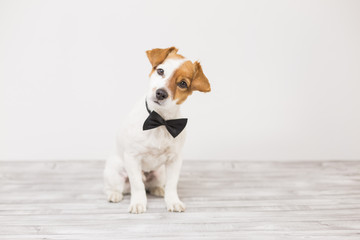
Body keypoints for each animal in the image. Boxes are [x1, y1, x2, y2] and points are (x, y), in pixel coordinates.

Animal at [103, 47, 211, 214]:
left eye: (182, 83)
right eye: (160, 71)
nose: (161, 93)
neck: (160, 121)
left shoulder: (175, 160)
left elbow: (172, 185)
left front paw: (173, 201)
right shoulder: (132, 158)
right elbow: (137, 185)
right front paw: (138, 203)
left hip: (160, 173)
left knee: (153, 185)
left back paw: (158, 189)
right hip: (115, 172)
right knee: (117, 187)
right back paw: (114, 194)